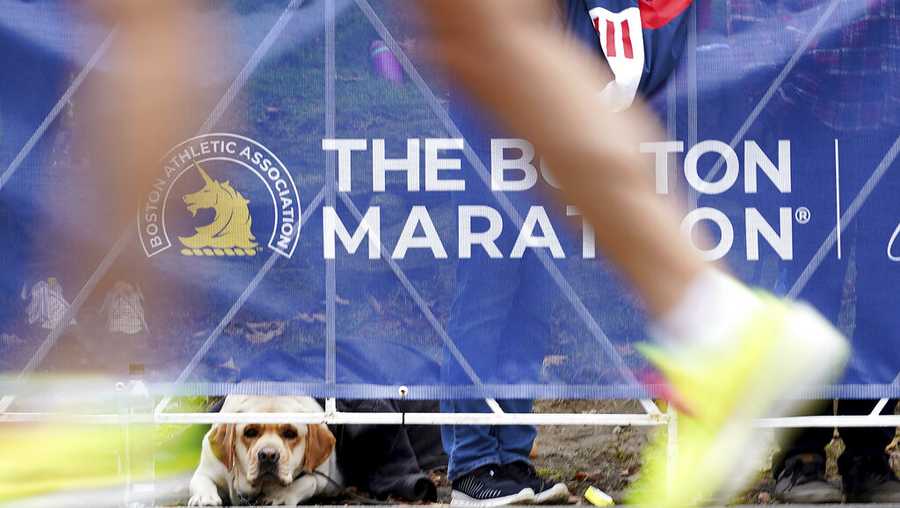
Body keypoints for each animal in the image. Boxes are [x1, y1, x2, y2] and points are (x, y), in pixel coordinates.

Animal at [188, 394, 342, 506]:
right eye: (250, 432)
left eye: (290, 433)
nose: (268, 455)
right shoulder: (209, 468)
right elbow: (202, 481)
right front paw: (204, 498)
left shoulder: (325, 479)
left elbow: (309, 480)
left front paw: (279, 495)